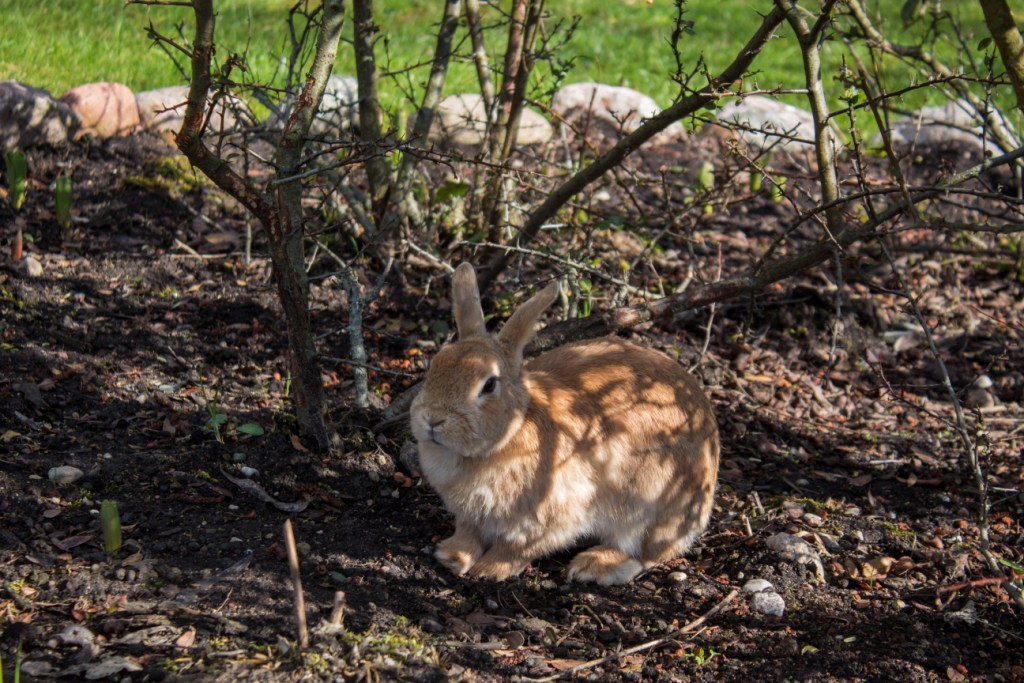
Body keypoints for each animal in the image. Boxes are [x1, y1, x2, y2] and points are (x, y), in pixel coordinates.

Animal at [407, 264, 720, 585]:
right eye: (435, 364)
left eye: (489, 384)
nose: (433, 419)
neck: (511, 432)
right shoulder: (470, 517)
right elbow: (469, 534)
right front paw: (452, 556)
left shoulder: (549, 516)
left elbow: (516, 547)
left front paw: (489, 570)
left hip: (648, 507)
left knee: (647, 553)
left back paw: (594, 565)